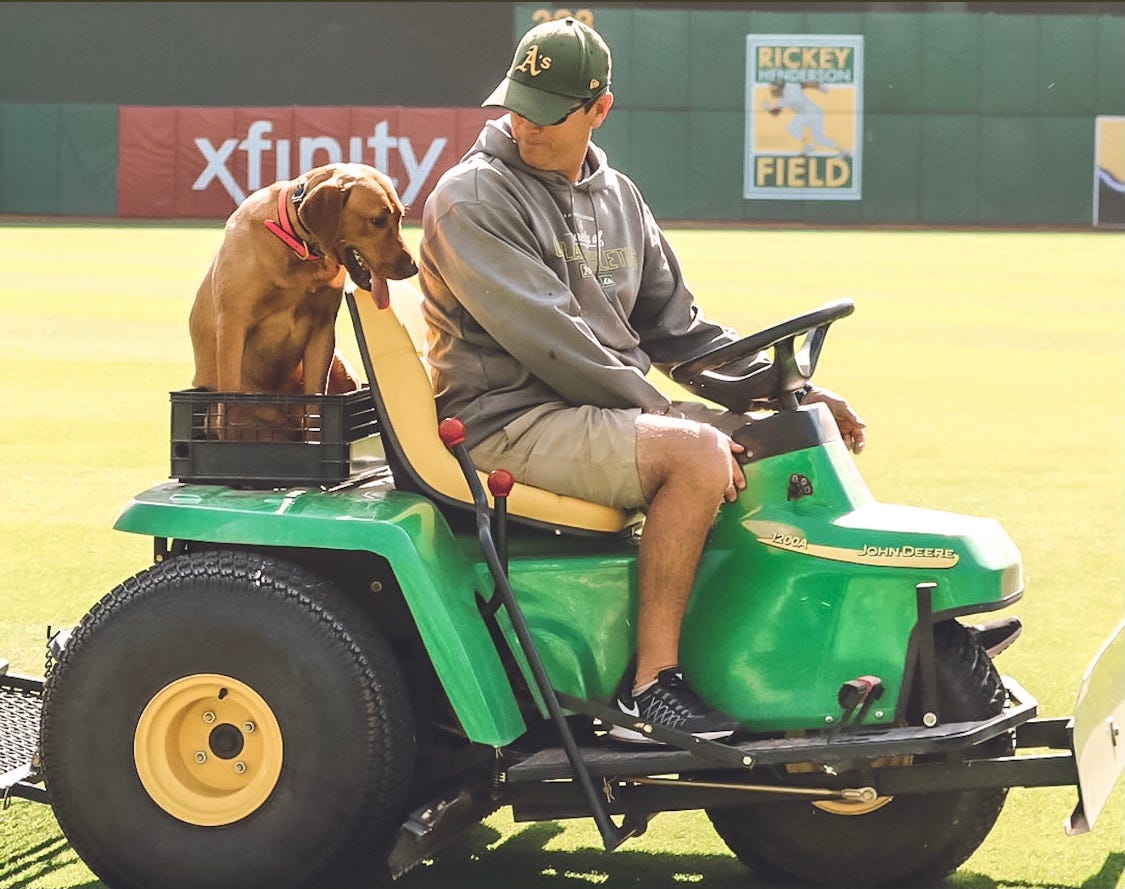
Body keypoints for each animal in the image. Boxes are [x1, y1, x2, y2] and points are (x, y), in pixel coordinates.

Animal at [189, 163, 418, 407]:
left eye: (400, 217)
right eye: (378, 220)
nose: (412, 269)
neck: (298, 246)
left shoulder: (322, 329)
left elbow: (315, 404)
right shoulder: (233, 325)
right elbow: (230, 398)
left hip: (340, 366)